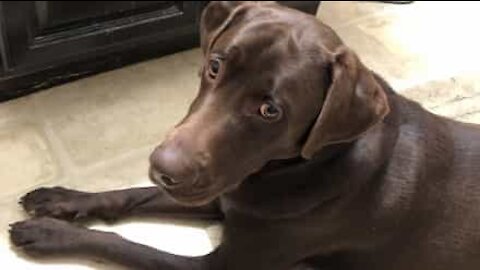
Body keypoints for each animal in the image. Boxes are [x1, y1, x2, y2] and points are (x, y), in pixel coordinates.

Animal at [8, 2, 480, 270]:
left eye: (270, 110)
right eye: (215, 66)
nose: (164, 169)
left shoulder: (222, 265)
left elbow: (125, 245)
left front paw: (50, 234)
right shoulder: (222, 190)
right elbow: (128, 194)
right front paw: (59, 200)